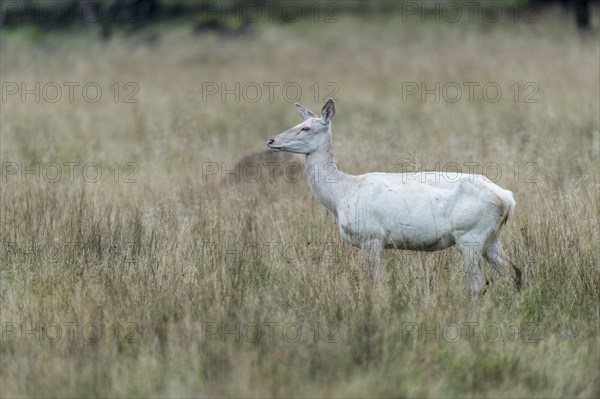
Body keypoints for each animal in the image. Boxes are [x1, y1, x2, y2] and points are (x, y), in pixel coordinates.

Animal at [268, 99, 520, 300]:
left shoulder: (371, 236)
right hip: (491, 237)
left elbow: (374, 283)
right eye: (297, 124)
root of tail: (508, 199)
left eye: (306, 128)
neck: (342, 195)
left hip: (470, 234)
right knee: (513, 272)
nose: (271, 140)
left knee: (480, 283)